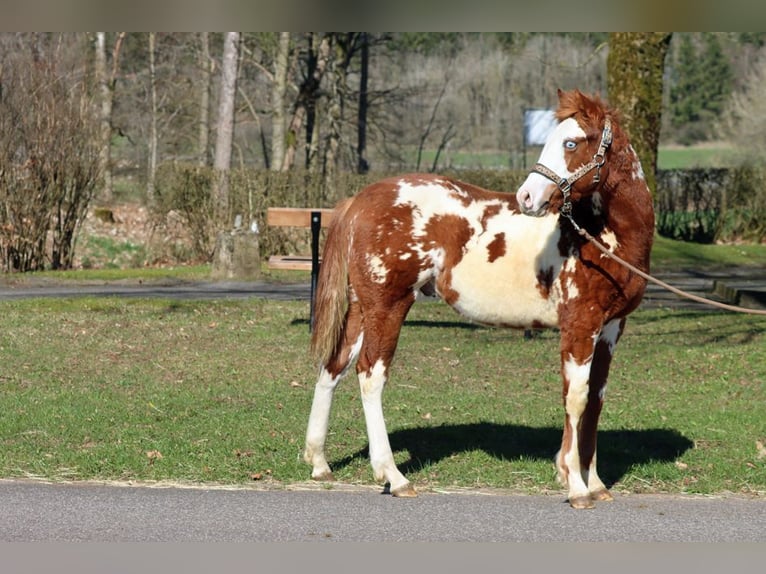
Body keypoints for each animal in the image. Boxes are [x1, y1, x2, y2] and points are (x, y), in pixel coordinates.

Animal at [303, 89, 655, 509]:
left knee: (333, 366)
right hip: (388, 306)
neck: (599, 236)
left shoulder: (610, 327)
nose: (527, 196)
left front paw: (595, 482)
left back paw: (319, 462)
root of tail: (358, 201)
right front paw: (575, 485)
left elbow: (596, 401)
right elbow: (576, 399)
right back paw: (393, 476)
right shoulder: (580, 325)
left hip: (362, 308)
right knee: (370, 376)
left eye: (570, 143)